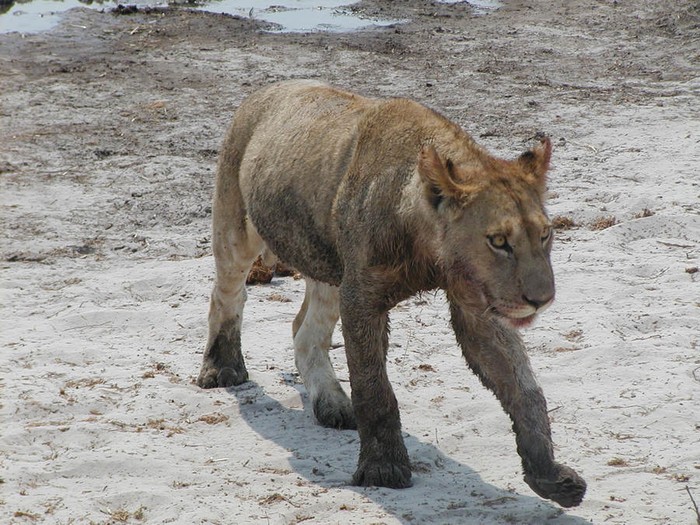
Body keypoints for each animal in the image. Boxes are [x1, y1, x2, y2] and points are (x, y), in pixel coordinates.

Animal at [196, 80, 584, 506]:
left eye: (545, 235)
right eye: (499, 241)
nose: (542, 299)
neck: (429, 250)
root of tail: (268, 89)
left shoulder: (477, 304)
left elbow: (524, 388)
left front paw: (550, 476)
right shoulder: (361, 297)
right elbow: (374, 389)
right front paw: (384, 469)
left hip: (328, 264)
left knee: (304, 330)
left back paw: (331, 403)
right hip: (236, 228)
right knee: (226, 295)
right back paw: (222, 367)